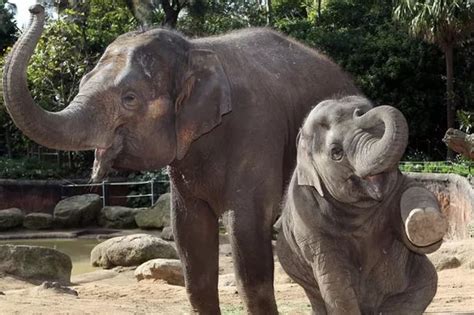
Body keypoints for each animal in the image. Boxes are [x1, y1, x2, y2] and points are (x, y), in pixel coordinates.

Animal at [2, 4, 360, 315]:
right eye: (82, 82)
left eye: (129, 98)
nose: (35, 8)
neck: (195, 48)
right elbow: (189, 237)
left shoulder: (257, 131)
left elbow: (246, 237)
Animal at [276, 97, 446, 315]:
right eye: (336, 153)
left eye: (378, 132)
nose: (359, 110)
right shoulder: (307, 220)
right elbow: (335, 282)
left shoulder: (395, 188)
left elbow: (413, 191)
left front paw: (423, 222)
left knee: (422, 289)